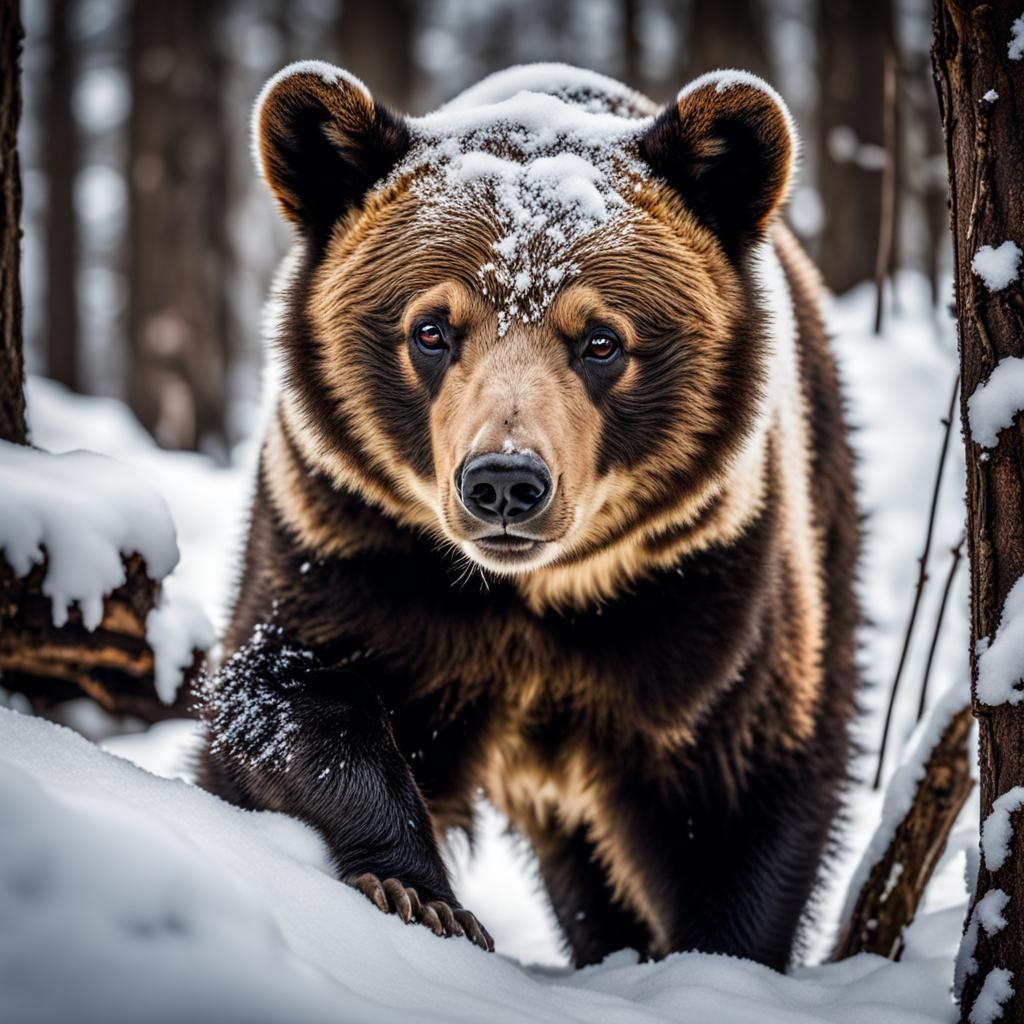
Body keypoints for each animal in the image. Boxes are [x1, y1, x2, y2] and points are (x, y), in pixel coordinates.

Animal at [199, 60, 859, 972]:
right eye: (431, 328)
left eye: (603, 339)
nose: (506, 482)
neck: (534, 601)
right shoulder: (348, 546)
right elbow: (283, 703)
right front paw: (417, 891)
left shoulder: (709, 582)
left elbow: (744, 785)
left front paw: (720, 958)